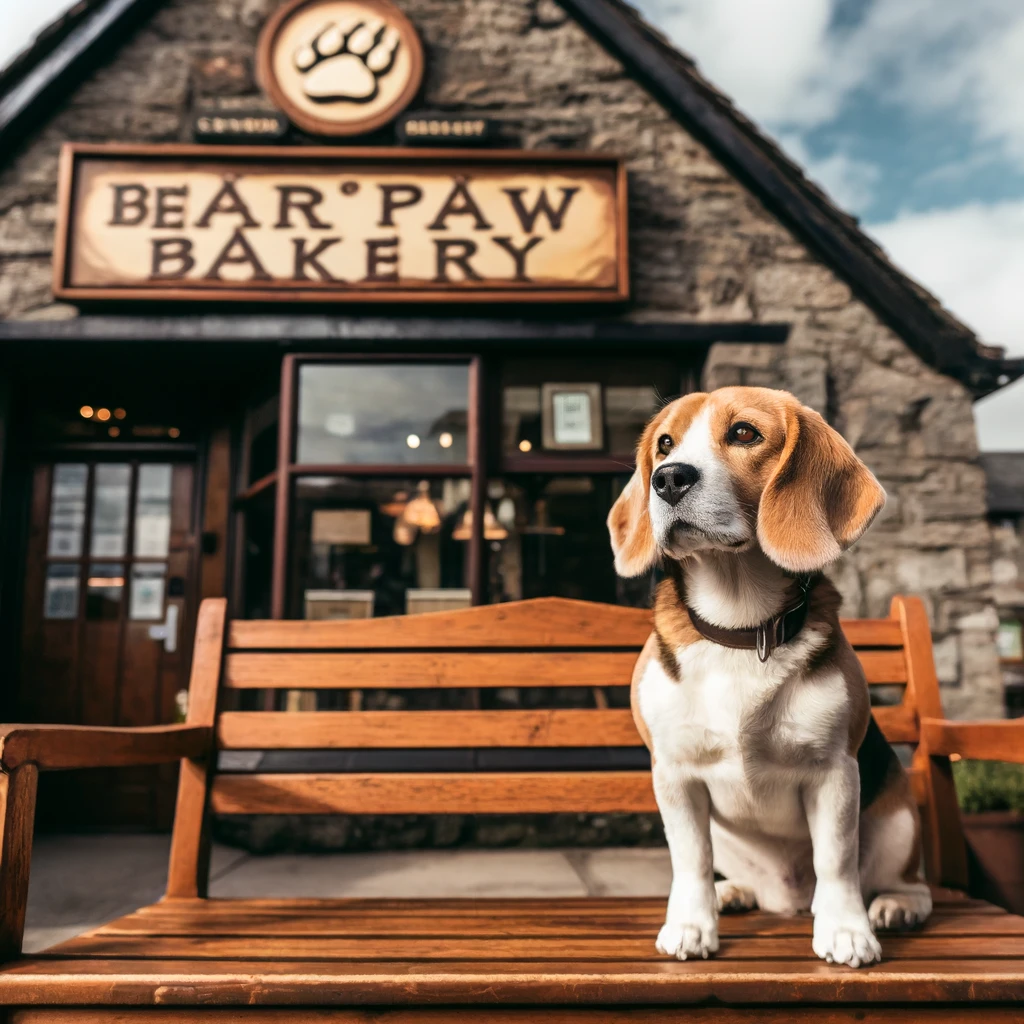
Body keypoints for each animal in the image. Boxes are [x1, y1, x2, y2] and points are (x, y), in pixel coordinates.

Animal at [606, 385, 937, 966]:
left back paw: (895, 906)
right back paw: (733, 893)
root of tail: (788, 899)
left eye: (744, 433)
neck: (739, 625)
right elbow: (690, 858)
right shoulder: (674, 774)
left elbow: (836, 859)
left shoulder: (834, 772)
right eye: (665, 443)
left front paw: (846, 931)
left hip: (898, 819)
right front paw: (691, 925)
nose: (667, 478)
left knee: (906, 880)